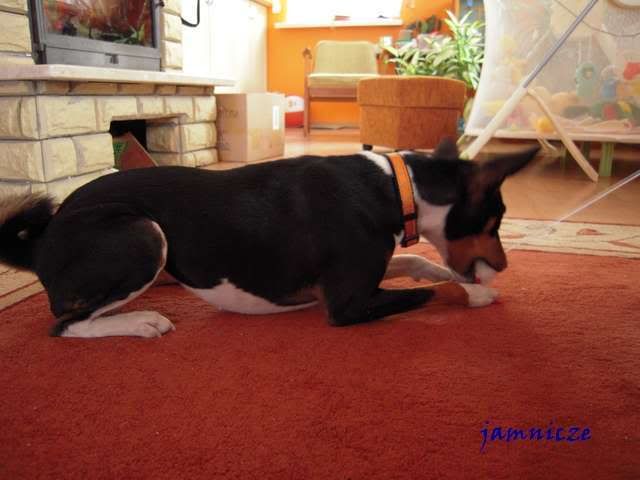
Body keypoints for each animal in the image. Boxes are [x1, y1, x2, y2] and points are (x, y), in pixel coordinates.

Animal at [0, 138, 538, 339]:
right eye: (495, 221)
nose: (506, 267)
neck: (395, 186)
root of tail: (43, 237)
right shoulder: (346, 305)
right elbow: (430, 291)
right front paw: (477, 295)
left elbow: (426, 265)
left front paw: (467, 283)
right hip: (143, 236)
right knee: (64, 324)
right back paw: (141, 322)